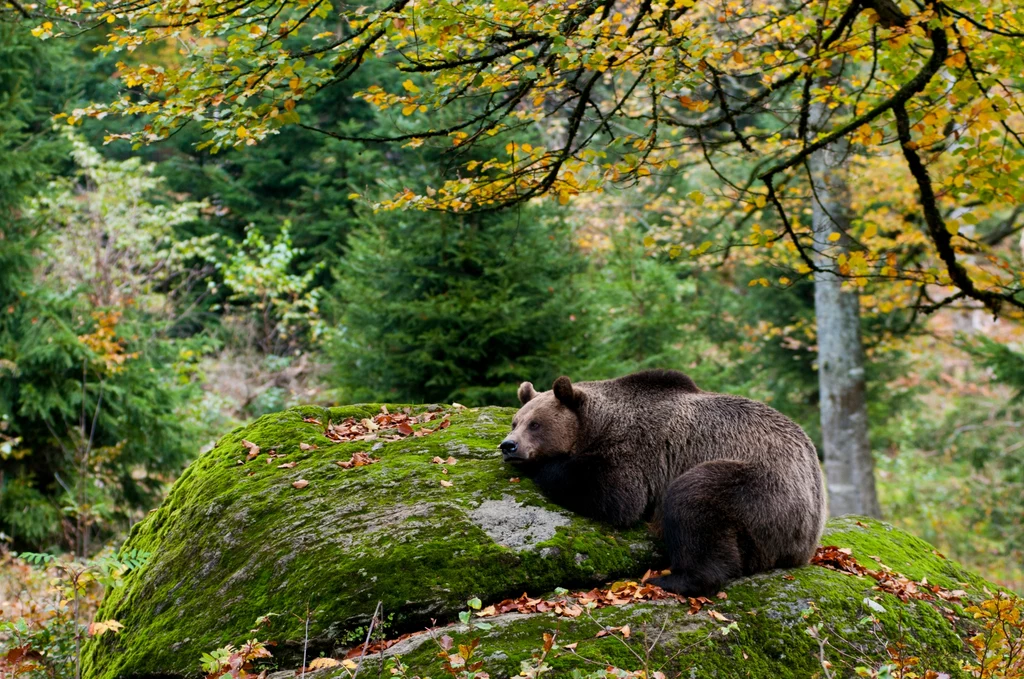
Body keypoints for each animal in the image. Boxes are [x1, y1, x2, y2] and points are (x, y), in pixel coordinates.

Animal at [499, 368, 827, 598]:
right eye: (516, 421)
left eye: (535, 424)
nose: (508, 445)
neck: (598, 424)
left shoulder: (639, 449)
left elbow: (616, 494)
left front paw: (544, 466)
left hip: (762, 488)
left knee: (692, 499)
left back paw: (672, 579)